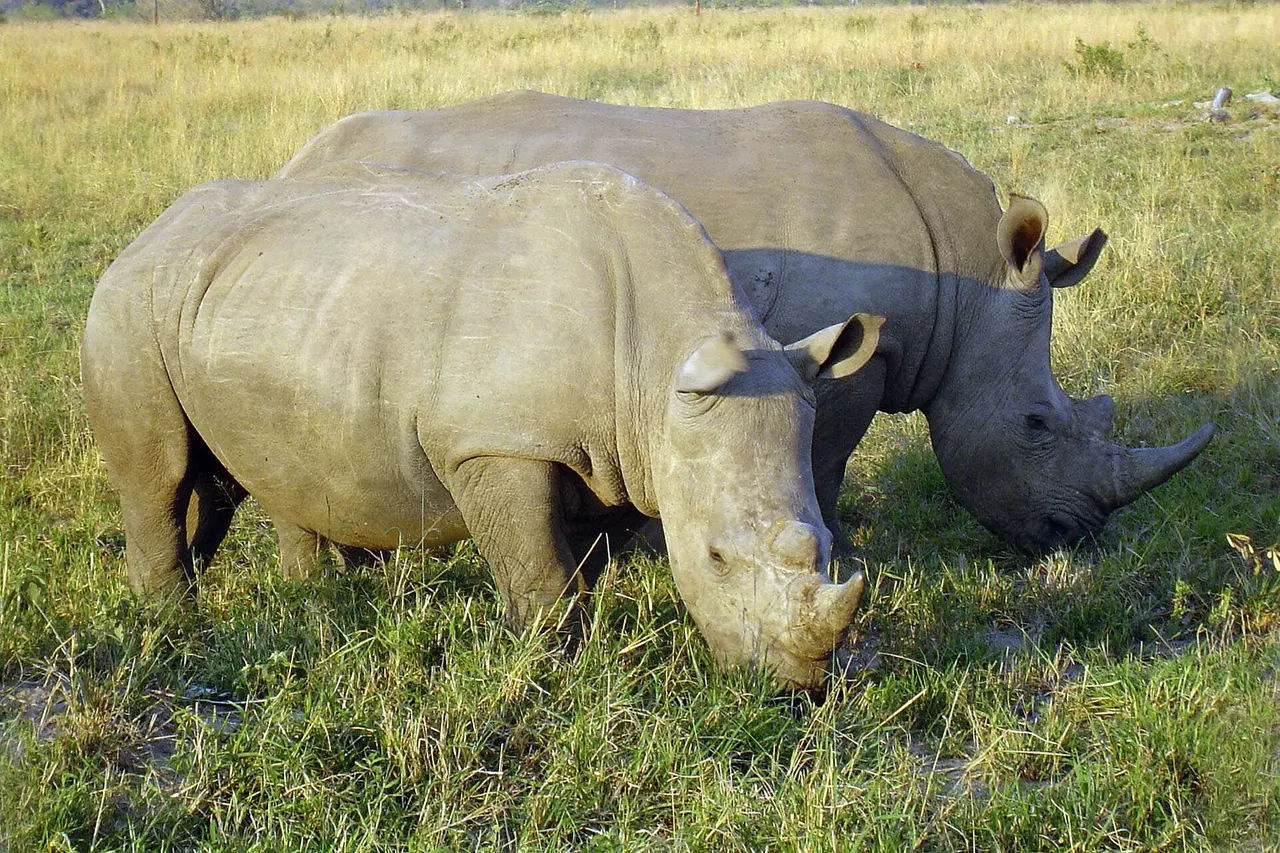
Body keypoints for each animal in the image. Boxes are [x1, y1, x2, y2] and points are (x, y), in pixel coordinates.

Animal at [81, 161, 885, 690]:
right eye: (715, 557)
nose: (793, 686)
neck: (659, 362)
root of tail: (148, 231)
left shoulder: (622, 457)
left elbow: (583, 559)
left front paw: (574, 643)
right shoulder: (498, 444)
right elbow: (537, 565)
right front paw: (550, 663)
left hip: (242, 302)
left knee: (233, 475)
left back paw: (309, 599)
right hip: (128, 305)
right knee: (160, 475)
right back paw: (173, 624)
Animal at [276, 91, 1214, 556]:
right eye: (1036, 425)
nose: (1073, 538)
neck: (970, 280)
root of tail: (296, 161)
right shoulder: (850, 353)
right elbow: (826, 464)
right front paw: (840, 549)